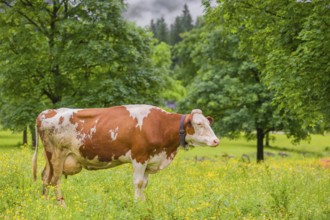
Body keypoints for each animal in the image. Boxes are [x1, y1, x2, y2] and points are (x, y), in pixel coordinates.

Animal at [32, 104, 219, 205]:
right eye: (199, 124)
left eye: (208, 123)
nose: (216, 141)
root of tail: (47, 112)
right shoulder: (139, 156)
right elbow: (138, 183)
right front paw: (137, 205)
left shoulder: (149, 161)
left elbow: (144, 184)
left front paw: (143, 203)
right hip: (56, 154)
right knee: (54, 180)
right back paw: (61, 205)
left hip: (50, 157)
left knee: (45, 177)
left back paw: (44, 203)